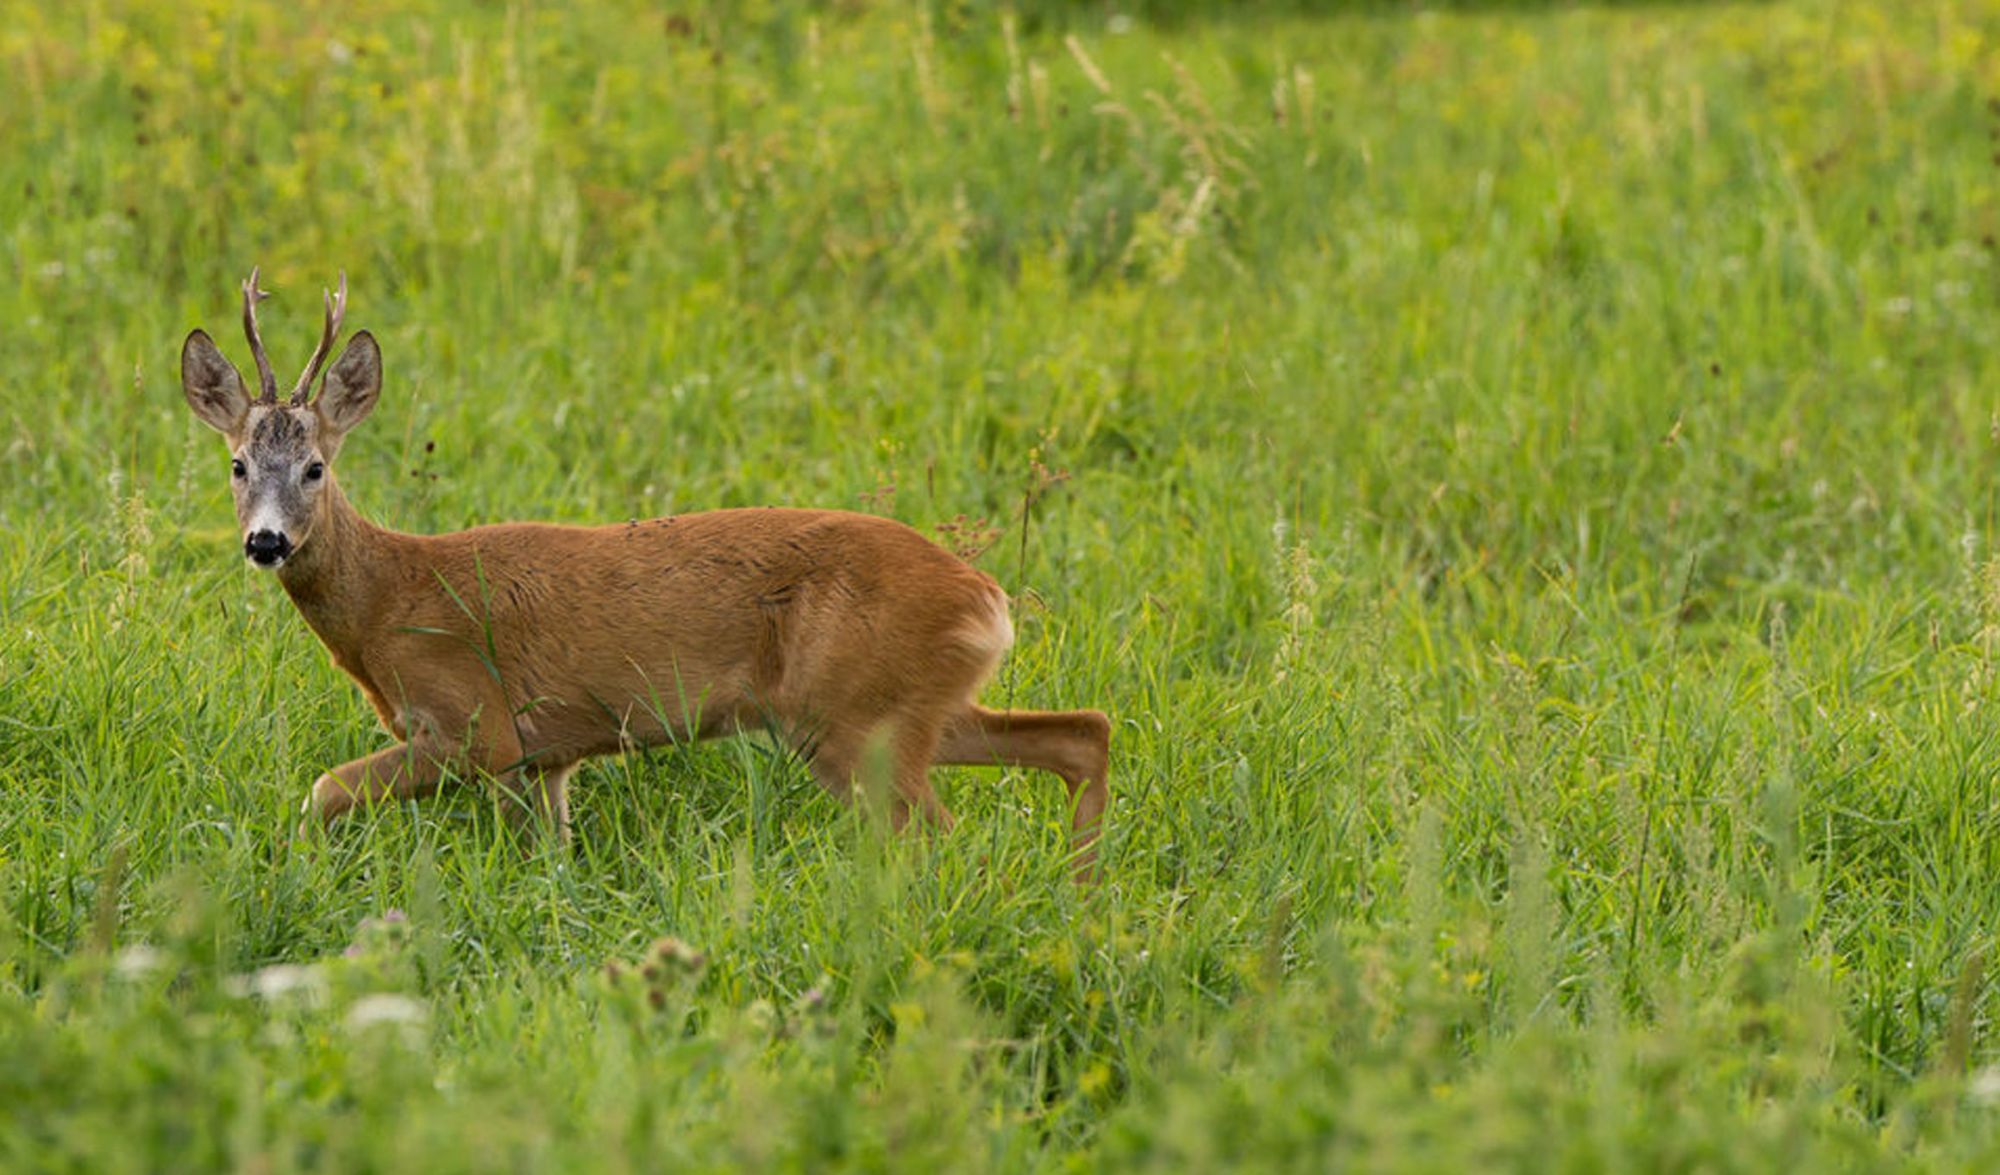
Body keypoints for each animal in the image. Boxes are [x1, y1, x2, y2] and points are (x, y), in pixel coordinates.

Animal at [180, 275, 1112, 875]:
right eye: (237, 464)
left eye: (314, 468)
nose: (266, 542)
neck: (387, 599)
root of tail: (987, 597)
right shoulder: (543, 758)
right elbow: (550, 860)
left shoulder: (473, 723)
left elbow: (323, 790)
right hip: (910, 707)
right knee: (1082, 731)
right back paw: (1082, 892)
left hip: (857, 716)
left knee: (939, 833)